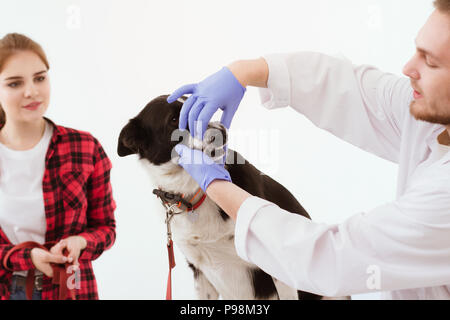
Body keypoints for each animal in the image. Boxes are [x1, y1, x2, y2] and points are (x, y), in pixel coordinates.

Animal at [116, 95, 342, 300]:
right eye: (173, 120)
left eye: (197, 104)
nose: (220, 128)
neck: (195, 194)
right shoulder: (200, 272)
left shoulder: (277, 267)